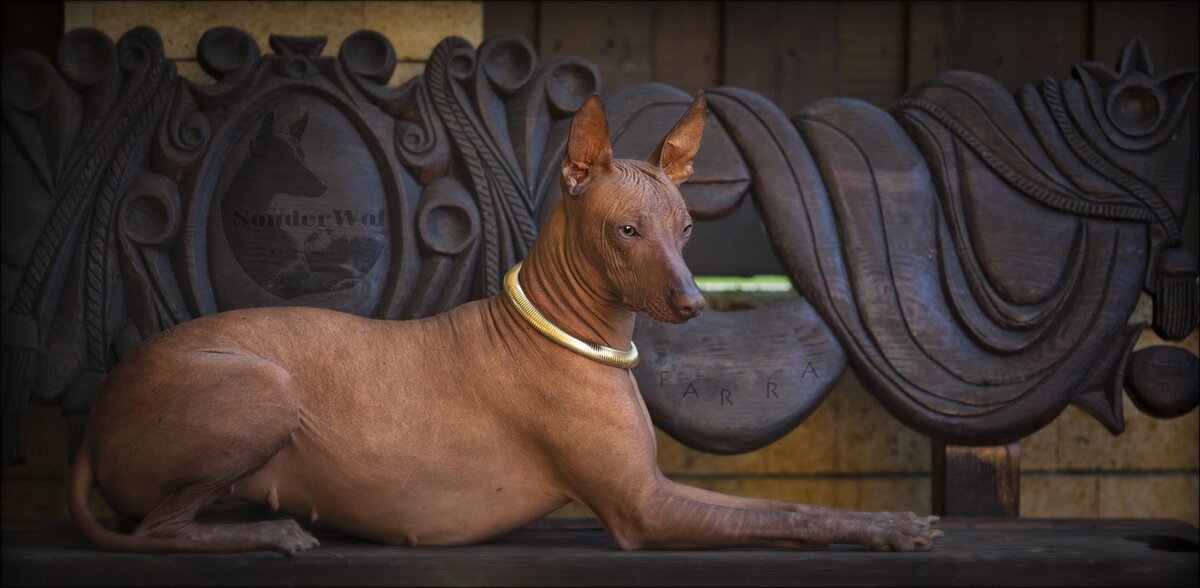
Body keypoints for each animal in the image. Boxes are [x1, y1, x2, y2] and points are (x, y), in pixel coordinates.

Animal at [70, 91, 940, 556]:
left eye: (688, 227)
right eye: (628, 231)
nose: (694, 303)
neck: (573, 329)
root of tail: (96, 416)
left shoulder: (653, 492)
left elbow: (791, 507)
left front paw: (887, 521)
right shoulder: (644, 509)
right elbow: (784, 515)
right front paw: (887, 530)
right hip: (265, 387)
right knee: (157, 529)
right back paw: (273, 534)